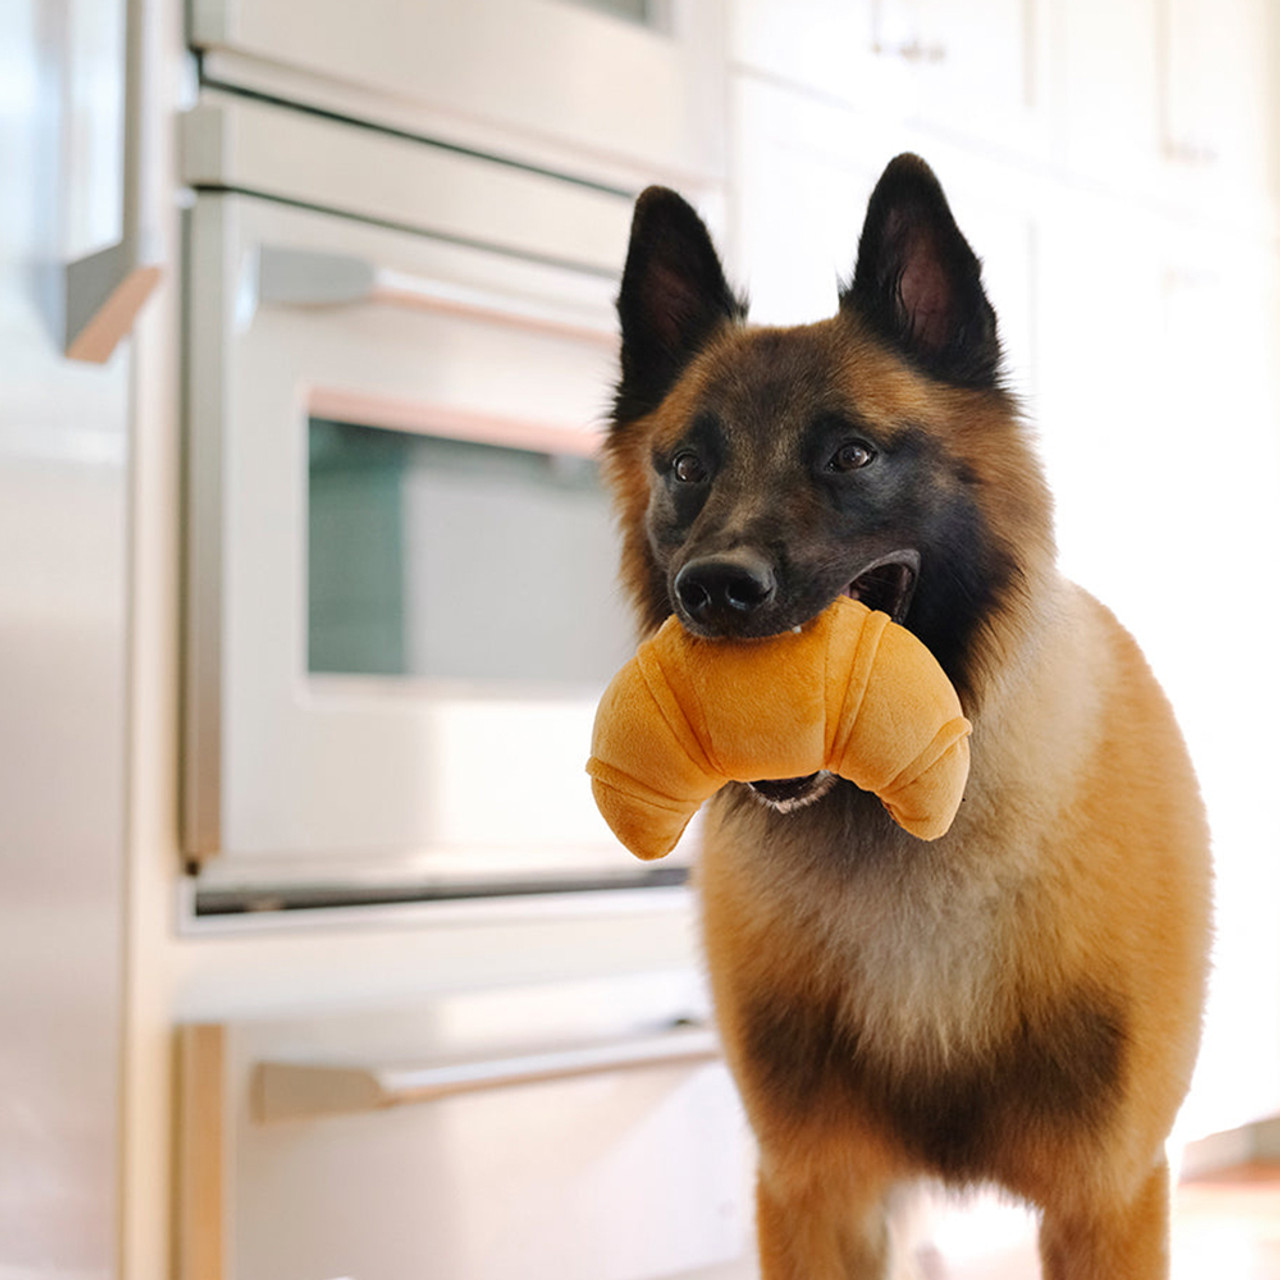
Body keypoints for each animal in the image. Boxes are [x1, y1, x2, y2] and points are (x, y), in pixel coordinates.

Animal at [604, 154, 1213, 1274]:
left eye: (849, 455)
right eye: (687, 468)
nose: (714, 590)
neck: (907, 842)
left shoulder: (1105, 1197)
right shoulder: (815, 1192)